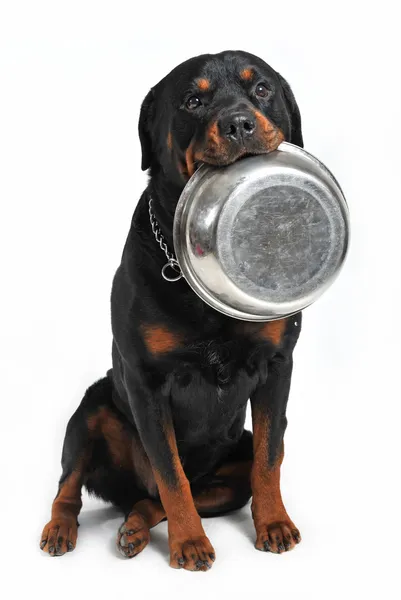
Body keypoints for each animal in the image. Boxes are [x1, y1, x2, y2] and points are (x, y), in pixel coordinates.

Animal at [39, 49, 304, 568]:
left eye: (261, 89)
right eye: (192, 101)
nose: (239, 122)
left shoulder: (277, 365)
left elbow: (270, 456)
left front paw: (275, 524)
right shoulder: (147, 382)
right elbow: (169, 471)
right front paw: (189, 543)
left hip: (230, 464)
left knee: (161, 497)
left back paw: (134, 528)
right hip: (94, 406)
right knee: (73, 484)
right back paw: (60, 529)